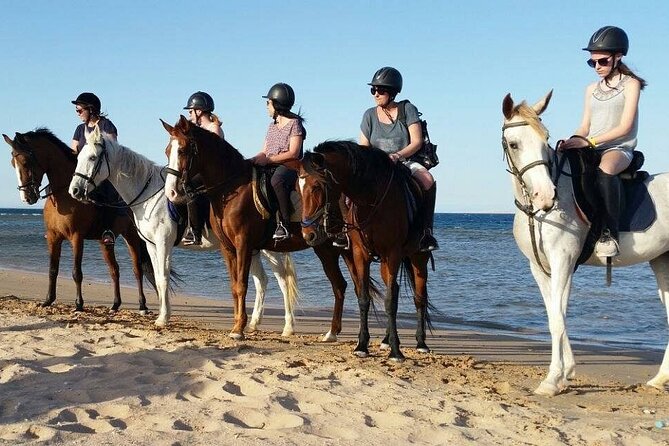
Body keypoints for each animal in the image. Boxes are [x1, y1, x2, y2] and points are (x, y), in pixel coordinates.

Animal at [3, 129, 153, 313]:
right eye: (12, 163)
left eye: (25, 162)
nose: (27, 197)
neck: (63, 195)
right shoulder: (53, 237)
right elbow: (52, 269)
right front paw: (48, 300)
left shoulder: (76, 237)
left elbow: (76, 272)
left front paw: (79, 304)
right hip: (105, 242)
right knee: (114, 269)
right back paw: (115, 304)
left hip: (131, 235)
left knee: (137, 269)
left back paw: (142, 304)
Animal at [68, 126, 301, 334]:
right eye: (78, 158)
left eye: (92, 158)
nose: (75, 191)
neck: (150, 196)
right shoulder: (152, 245)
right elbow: (159, 278)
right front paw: (163, 315)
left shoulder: (164, 243)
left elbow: (163, 277)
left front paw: (163, 318)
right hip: (253, 248)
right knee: (262, 280)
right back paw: (253, 324)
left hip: (266, 248)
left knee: (282, 280)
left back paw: (288, 327)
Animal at [162, 116, 352, 341]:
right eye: (167, 151)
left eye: (182, 150)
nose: (172, 193)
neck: (231, 189)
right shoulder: (228, 248)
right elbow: (234, 286)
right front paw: (237, 324)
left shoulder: (243, 244)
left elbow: (242, 285)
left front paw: (239, 329)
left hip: (327, 249)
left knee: (339, 285)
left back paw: (331, 332)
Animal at [299, 140, 433, 361]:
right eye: (299, 188)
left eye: (317, 186)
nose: (307, 234)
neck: (371, 199)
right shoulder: (360, 254)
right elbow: (364, 298)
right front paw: (362, 345)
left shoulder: (393, 253)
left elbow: (390, 301)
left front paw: (396, 352)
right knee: (396, 288)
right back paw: (386, 340)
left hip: (418, 258)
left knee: (419, 297)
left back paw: (421, 343)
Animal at [502, 91, 669, 395]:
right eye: (514, 144)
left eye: (545, 139)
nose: (546, 196)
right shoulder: (542, 267)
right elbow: (556, 315)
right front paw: (565, 372)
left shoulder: (562, 261)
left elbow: (557, 320)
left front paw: (552, 380)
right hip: (662, 260)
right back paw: (660, 378)